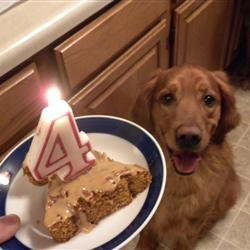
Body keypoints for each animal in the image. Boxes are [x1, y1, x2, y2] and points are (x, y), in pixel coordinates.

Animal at [134, 65, 241, 250]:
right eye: (167, 98)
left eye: (208, 99)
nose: (189, 137)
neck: (178, 180)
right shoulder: (151, 218)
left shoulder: (191, 226)